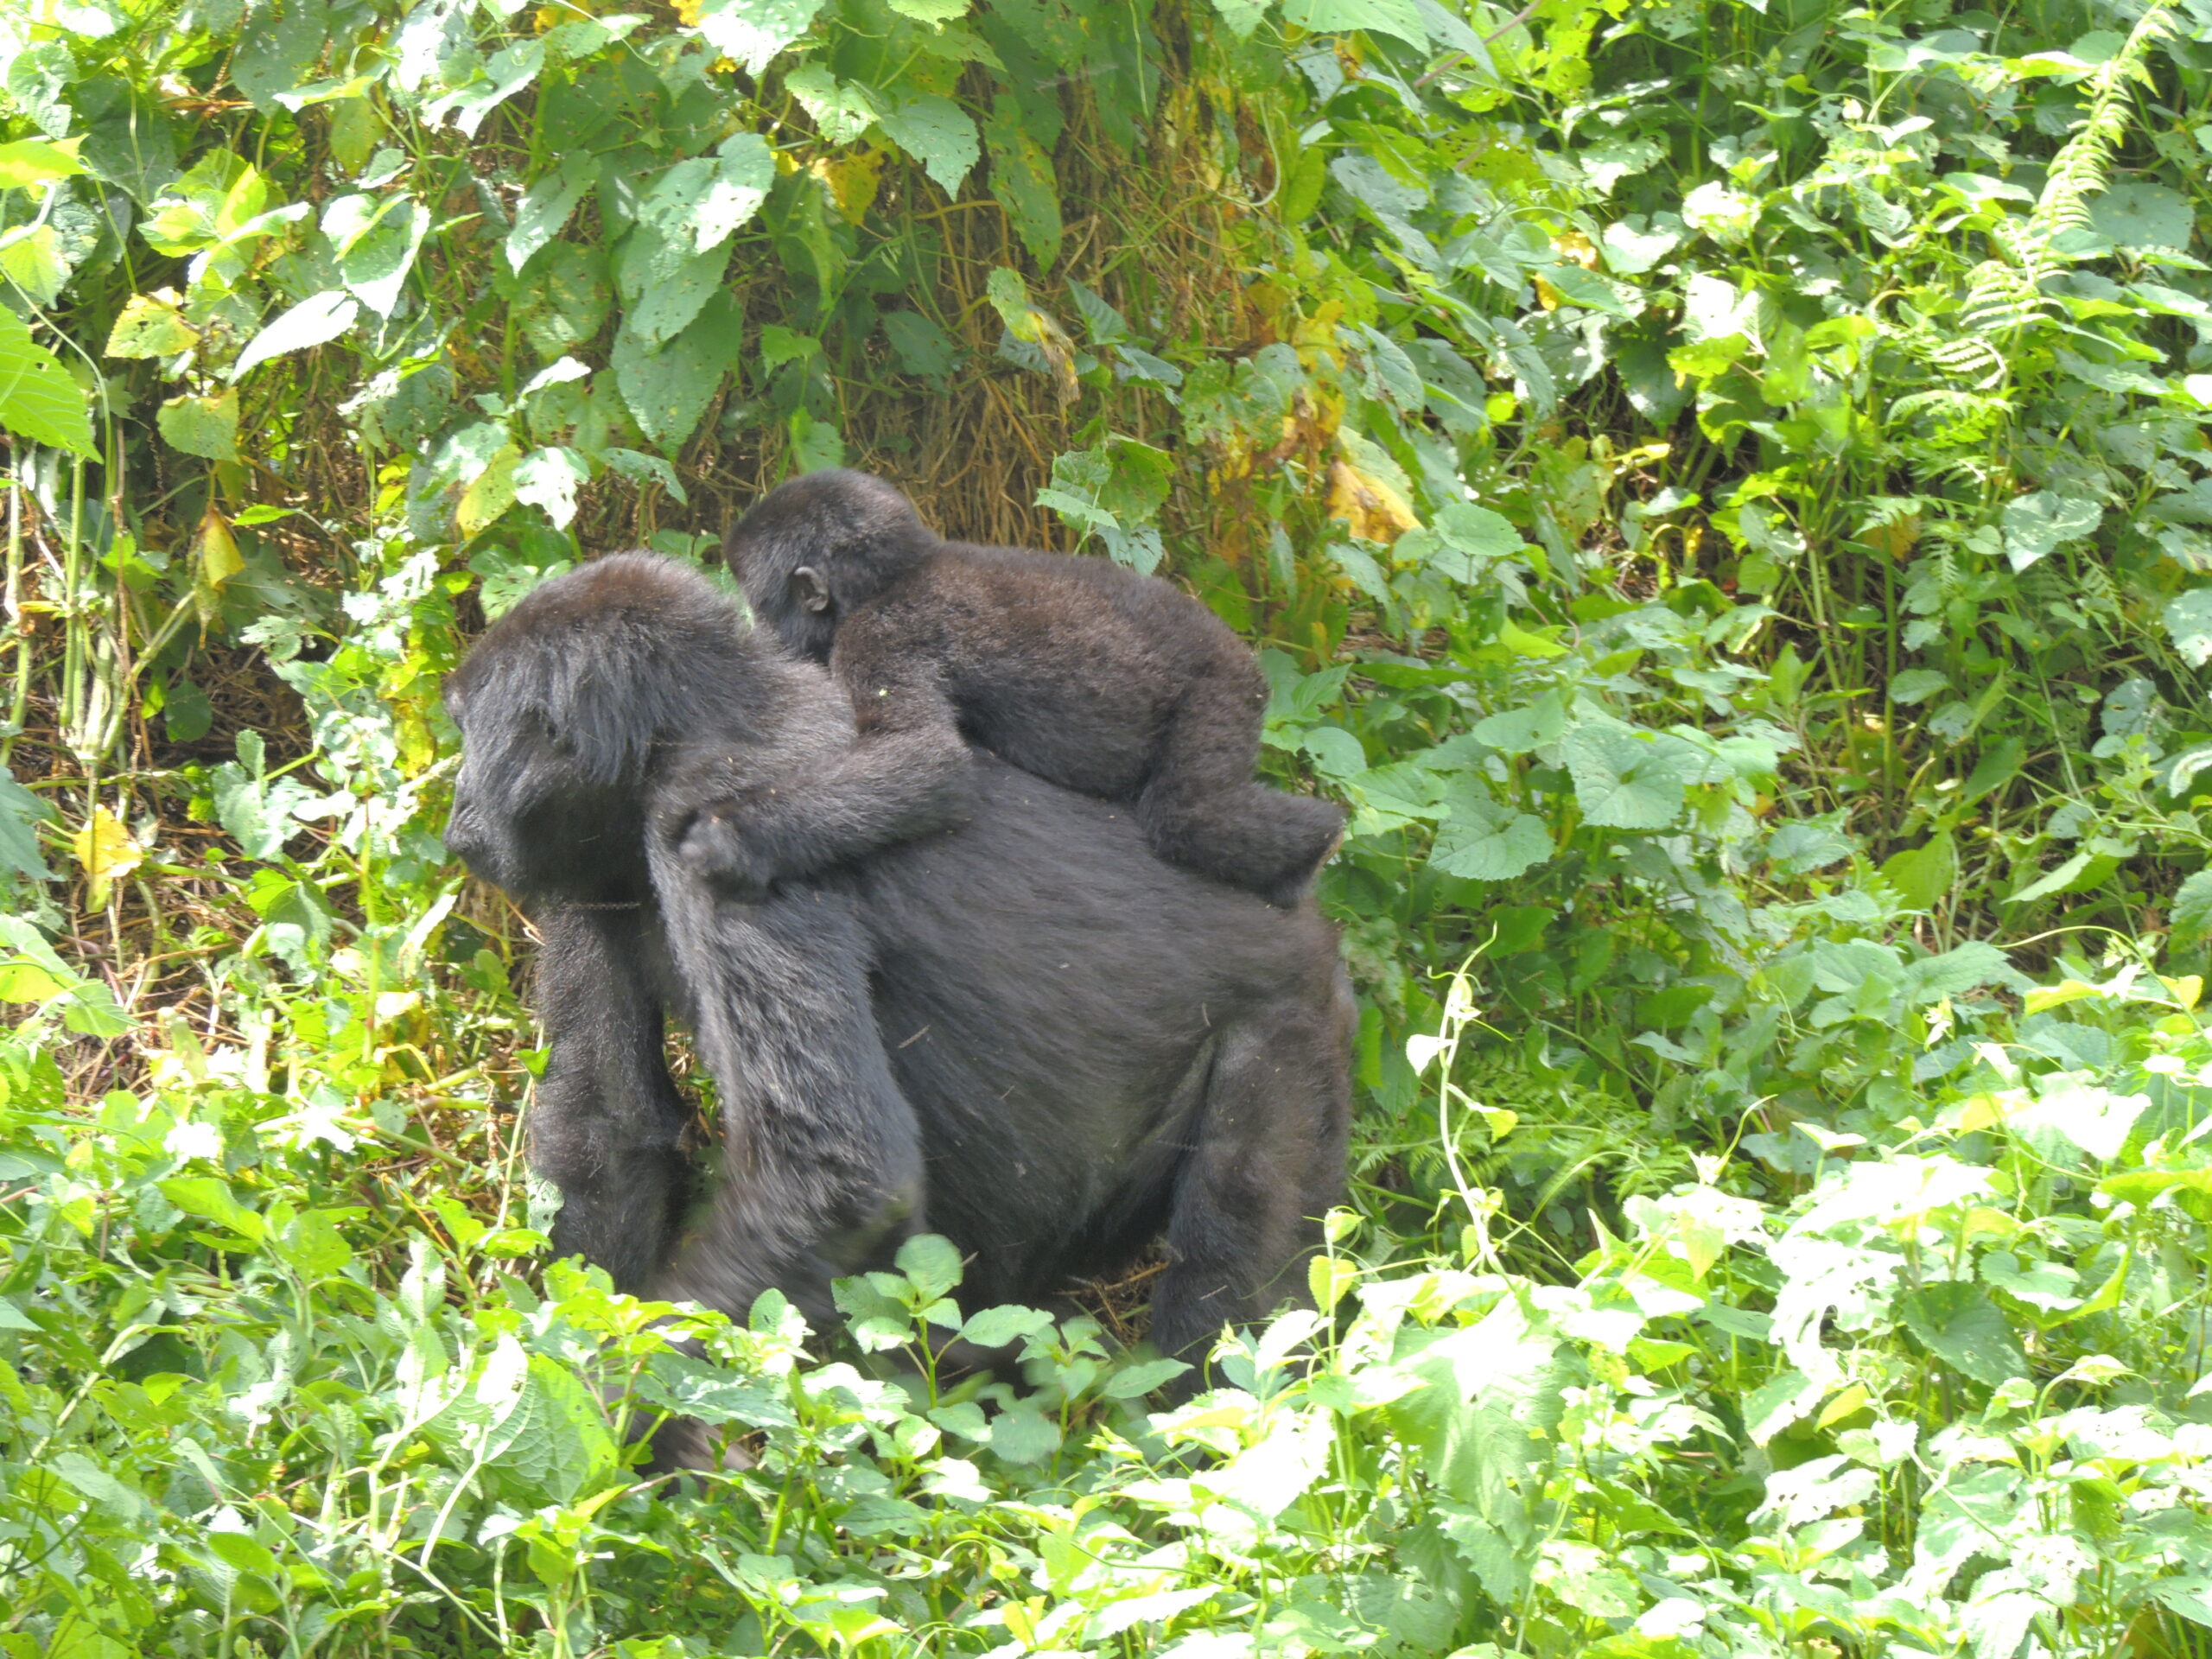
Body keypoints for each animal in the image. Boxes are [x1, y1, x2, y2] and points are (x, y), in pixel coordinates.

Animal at [444, 553, 1344, 1380]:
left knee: (1227, 1266)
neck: (683, 726)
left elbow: (835, 1176)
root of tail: (1308, 927)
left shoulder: (705, 823)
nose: (458, 811)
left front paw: (644, 1410)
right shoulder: (588, 865)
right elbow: (610, 1128)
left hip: (1295, 1021)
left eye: (467, 732)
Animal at [721, 468, 1344, 911]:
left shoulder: (878, 635)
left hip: (1223, 686)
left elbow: (926, 755)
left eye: (760, 603)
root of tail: (1244, 658)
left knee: (1194, 813)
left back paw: (1317, 848)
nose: (759, 633)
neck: (895, 576)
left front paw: (741, 838)